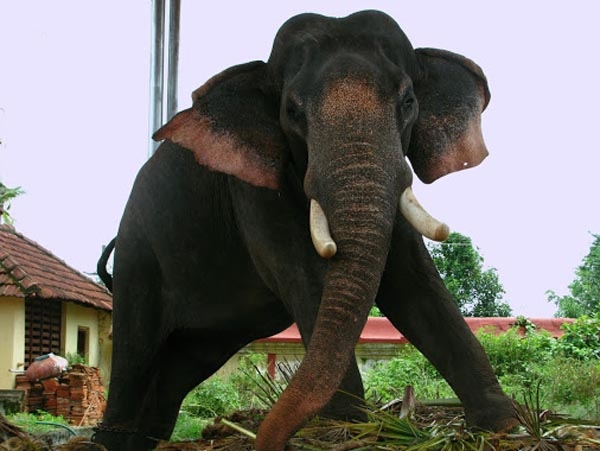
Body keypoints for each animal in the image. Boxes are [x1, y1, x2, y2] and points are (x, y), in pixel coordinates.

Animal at [92, 9, 516, 451]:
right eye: (292, 112)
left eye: (408, 102)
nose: (266, 439)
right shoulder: (251, 190)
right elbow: (305, 276)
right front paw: (344, 427)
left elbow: (414, 282)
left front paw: (501, 424)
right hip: (139, 258)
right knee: (136, 349)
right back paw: (111, 440)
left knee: (182, 362)